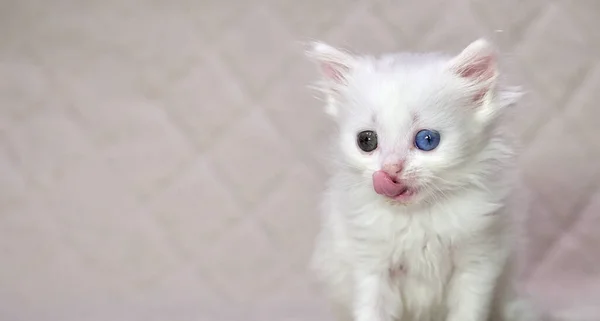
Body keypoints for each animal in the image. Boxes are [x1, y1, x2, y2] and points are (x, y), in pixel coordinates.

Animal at [308, 39, 536, 320]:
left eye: (427, 140)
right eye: (366, 141)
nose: (390, 169)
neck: (418, 216)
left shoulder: (478, 262)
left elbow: (467, 312)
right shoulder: (371, 268)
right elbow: (371, 310)